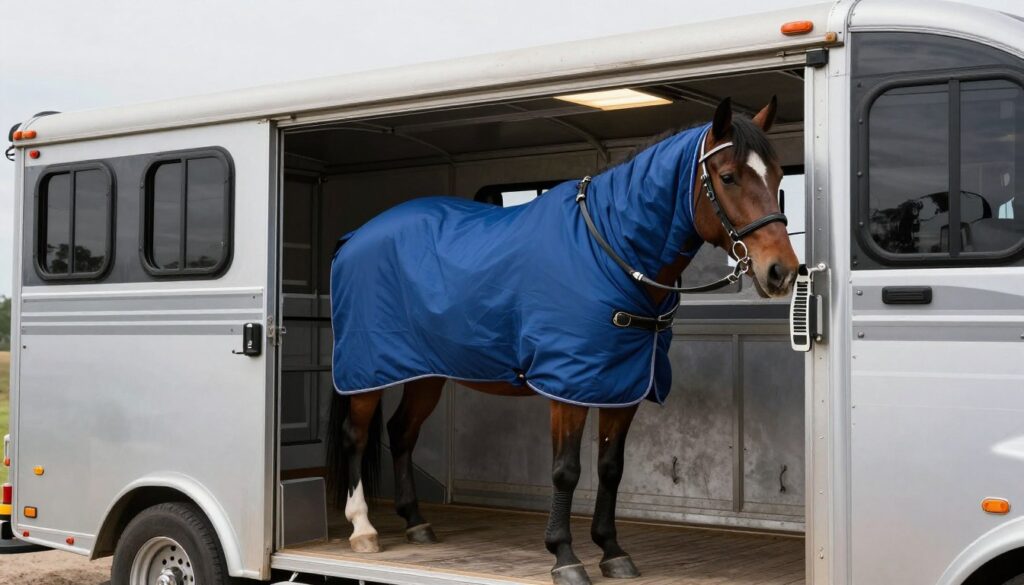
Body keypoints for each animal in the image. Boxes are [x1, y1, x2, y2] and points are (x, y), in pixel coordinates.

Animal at [326, 96, 798, 585]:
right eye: (728, 177)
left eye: (778, 177)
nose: (781, 271)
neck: (608, 251)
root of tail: (354, 238)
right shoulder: (567, 386)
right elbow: (566, 471)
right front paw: (564, 556)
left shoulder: (621, 385)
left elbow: (611, 469)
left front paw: (612, 550)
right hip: (366, 369)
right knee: (356, 435)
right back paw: (363, 528)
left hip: (427, 372)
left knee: (402, 432)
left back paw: (416, 521)